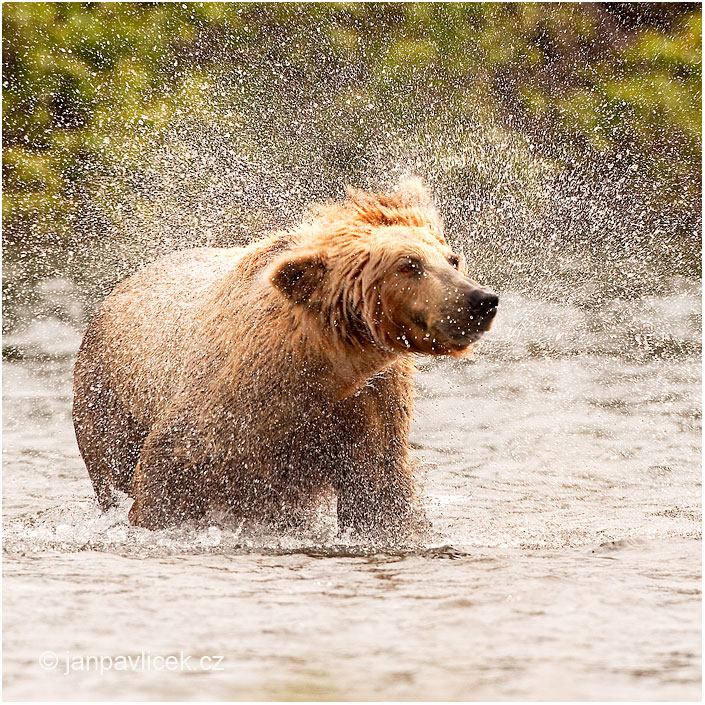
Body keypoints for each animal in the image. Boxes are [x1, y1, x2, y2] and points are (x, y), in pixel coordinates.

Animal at [73, 182, 496, 540]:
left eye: (452, 259)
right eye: (408, 264)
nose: (481, 299)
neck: (320, 363)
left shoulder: (370, 403)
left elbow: (380, 489)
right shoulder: (232, 398)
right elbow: (169, 468)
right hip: (108, 398)